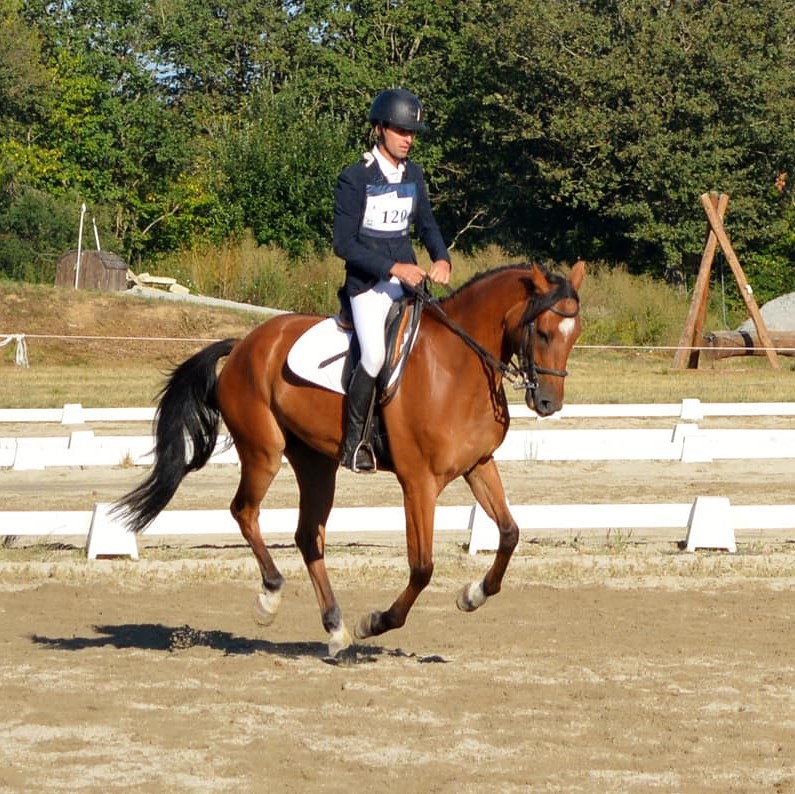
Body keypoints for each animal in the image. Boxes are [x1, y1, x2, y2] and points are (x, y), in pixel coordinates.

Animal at [116, 260, 584, 656]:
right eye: (543, 332)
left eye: (575, 333)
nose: (548, 403)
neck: (457, 366)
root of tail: (246, 342)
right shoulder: (419, 483)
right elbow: (422, 567)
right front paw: (374, 622)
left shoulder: (478, 465)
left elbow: (509, 533)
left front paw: (472, 596)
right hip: (263, 451)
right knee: (244, 511)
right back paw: (273, 596)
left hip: (316, 462)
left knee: (308, 536)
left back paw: (336, 630)